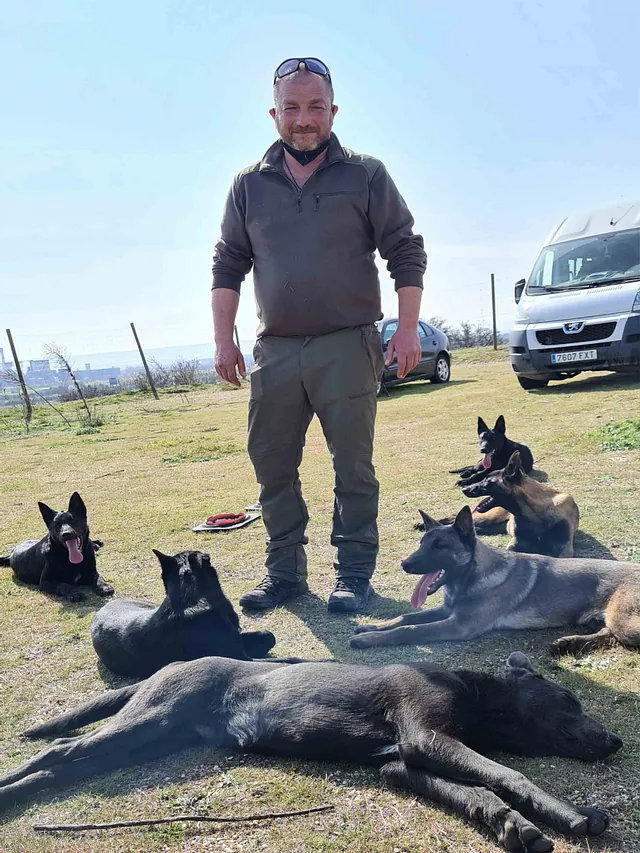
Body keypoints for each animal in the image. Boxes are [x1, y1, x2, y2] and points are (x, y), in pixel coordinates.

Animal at [2, 648, 616, 848]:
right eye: (570, 699)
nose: (615, 740)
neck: (473, 693)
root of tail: (172, 662)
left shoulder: (402, 764)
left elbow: (479, 794)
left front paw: (514, 825)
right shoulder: (427, 736)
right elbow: (508, 776)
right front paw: (572, 814)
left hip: (145, 742)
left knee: (62, 763)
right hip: (148, 719)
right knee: (59, 751)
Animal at [350, 506, 640, 660]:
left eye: (440, 546)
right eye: (421, 543)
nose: (405, 564)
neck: (473, 578)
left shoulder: (458, 625)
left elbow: (409, 630)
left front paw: (369, 639)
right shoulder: (447, 610)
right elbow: (406, 616)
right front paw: (373, 627)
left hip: (623, 620)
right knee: (607, 634)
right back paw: (569, 643)